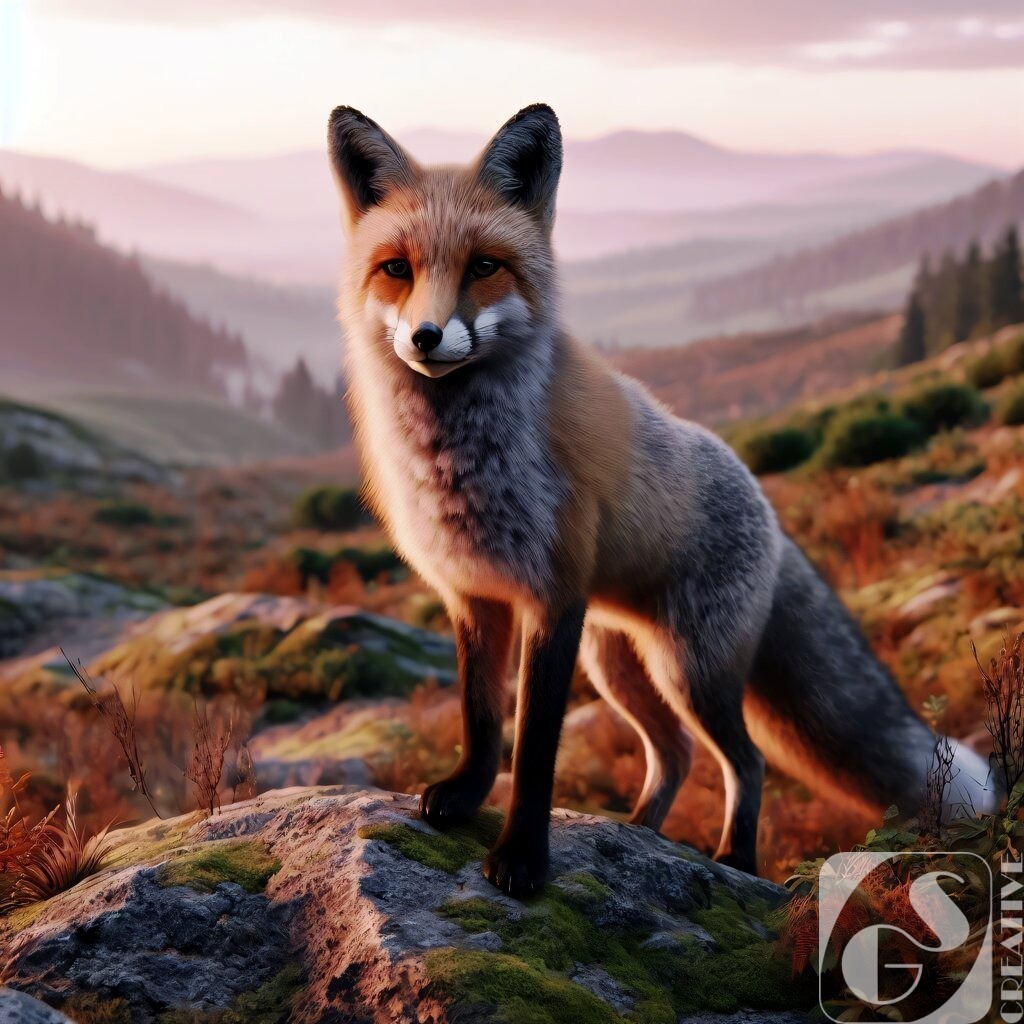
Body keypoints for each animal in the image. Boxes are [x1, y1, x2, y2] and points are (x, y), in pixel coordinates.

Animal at [328, 102, 998, 897]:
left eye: (484, 266)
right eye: (396, 268)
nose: (427, 337)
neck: (460, 464)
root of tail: (771, 512)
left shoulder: (552, 600)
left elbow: (535, 752)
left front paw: (523, 859)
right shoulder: (474, 597)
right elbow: (483, 720)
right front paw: (464, 796)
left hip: (690, 669)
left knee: (744, 759)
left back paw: (733, 860)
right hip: (620, 667)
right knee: (673, 754)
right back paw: (639, 835)